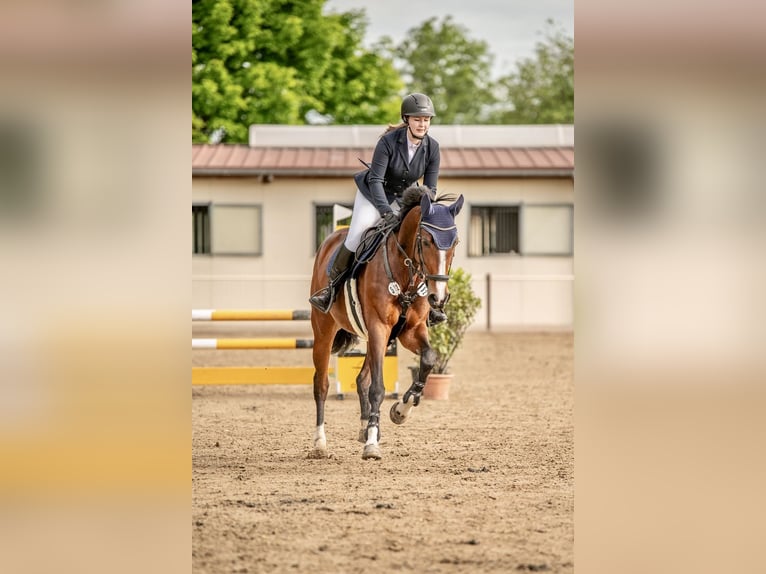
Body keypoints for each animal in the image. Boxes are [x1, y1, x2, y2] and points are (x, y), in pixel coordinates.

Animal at [309, 184, 464, 460]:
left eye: (455, 243)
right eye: (426, 241)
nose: (438, 298)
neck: (406, 274)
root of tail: (329, 240)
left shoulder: (410, 331)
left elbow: (428, 359)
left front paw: (401, 410)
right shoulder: (379, 327)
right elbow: (378, 388)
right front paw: (372, 445)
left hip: (375, 338)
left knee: (361, 380)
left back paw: (365, 429)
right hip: (324, 330)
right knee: (322, 384)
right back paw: (320, 443)